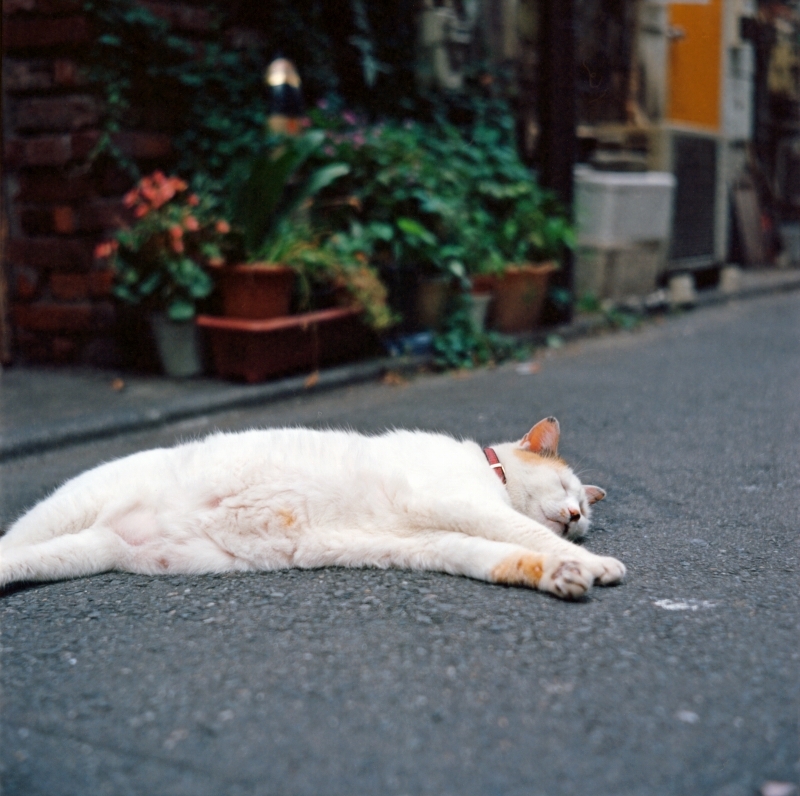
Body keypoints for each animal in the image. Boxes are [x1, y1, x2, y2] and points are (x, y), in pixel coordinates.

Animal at [0, 416, 624, 596]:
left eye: (582, 518)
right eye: (567, 491)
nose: (577, 518)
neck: (489, 472)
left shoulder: (438, 540)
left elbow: (505, 555)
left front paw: (564, 571)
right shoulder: (455, 501)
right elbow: (522, 530)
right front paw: (595, 565)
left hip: (81, 552)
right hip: (66, 510)